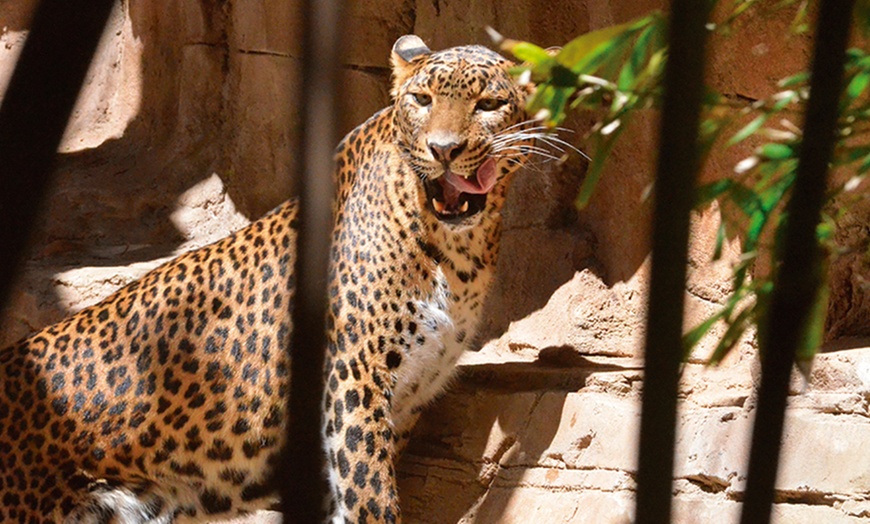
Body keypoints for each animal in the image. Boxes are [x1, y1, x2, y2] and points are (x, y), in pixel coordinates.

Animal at [0, 34, 544, 520]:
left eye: (489, 104)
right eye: (422, 99)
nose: (442, 149)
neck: (457, 251)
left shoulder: (403, 401)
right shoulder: (355, 379)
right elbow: (369, 495)